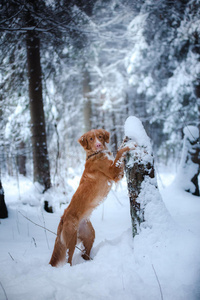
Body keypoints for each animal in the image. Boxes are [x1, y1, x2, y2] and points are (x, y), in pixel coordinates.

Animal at [49, 129, 133, 268]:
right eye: (91, 139)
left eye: (100, 136)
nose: (98, 145)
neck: (95, 154)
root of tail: (62, 218)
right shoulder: (113, 172)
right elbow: (119, 153)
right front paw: (129, 146)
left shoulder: (117, 173)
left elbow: (118, 153)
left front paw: (125, 141)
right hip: (71, 240)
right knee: (68, 259)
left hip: (89, 235)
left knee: (85, 253)